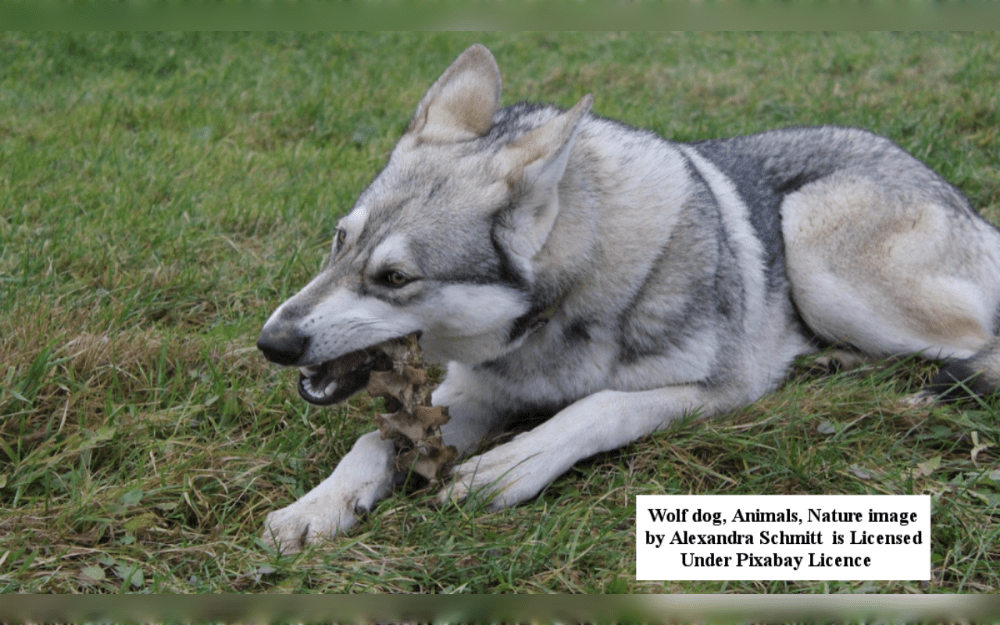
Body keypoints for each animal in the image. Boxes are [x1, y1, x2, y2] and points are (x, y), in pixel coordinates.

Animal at [256, 44, 1000, 552]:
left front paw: (509, 466)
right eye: (339, 242)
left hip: (815, 246)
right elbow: (373, 441)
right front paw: (316, 507)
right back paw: (835, 363)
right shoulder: (472, 392)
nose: (272, 342)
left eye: (395, 278)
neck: (557, 317)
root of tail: (963, 202)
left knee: (977, 343)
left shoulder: (723, 389)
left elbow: (598, 405)